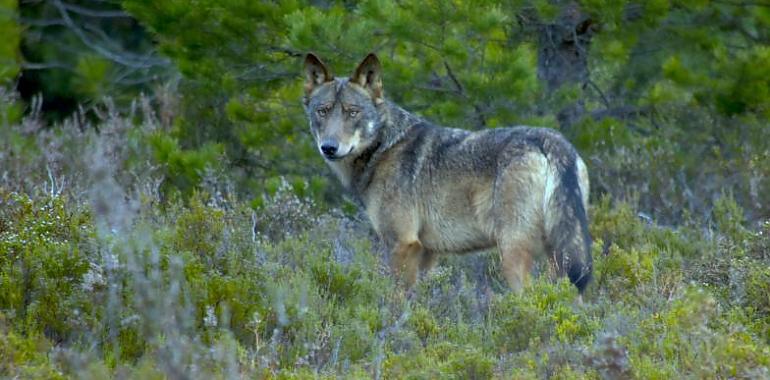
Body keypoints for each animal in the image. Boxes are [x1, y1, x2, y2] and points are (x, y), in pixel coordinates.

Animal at [304, 52, 592, 292]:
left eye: (352, 112)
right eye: (322, 111)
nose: (329, 147)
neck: (384, 147)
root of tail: (551, 140)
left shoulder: (402, 244)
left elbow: (394, 302)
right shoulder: (427, 252)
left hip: (513, 254)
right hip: (559, 258)